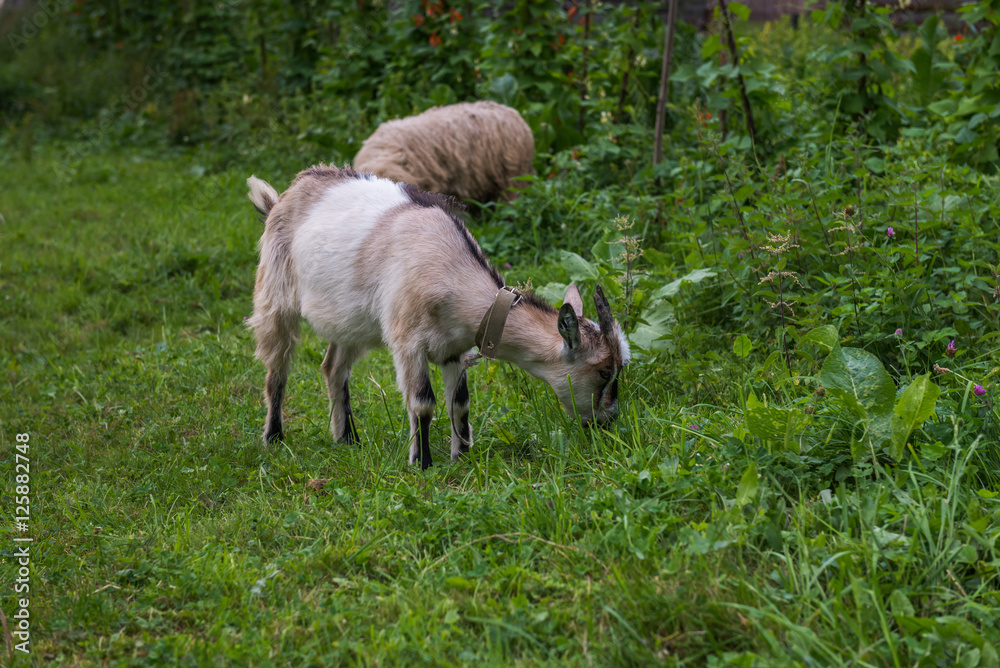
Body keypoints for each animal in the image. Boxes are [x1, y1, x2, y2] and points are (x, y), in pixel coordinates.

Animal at [246, 166, 628, 470]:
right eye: (604, 372)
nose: (608, 421)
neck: (451, 269)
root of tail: (281, 198)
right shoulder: (408, 343)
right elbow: (423, 403)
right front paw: (422, 462)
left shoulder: (453, 348)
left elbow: (460, 403)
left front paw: (463, 455)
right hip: (274, 296)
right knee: (277, 370)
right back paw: (274, 437)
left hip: (351, 321)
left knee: (333, 367)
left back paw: (347, 439)